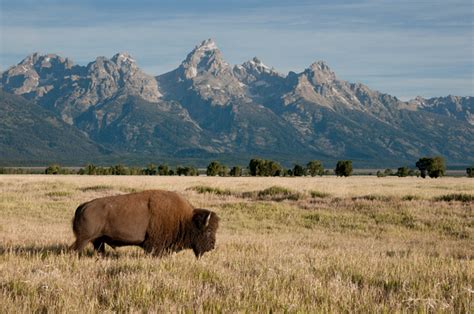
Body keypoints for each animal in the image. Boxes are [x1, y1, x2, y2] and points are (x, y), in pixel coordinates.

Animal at [70, 189, 220, 258]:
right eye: (208, 231)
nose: (212, 246)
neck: (185, 219)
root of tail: (83, 206)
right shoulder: (154, 246)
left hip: (98, 241)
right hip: (83, 239)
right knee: (73, 249)